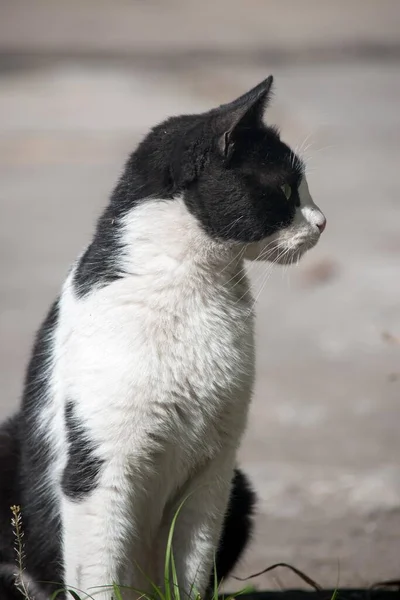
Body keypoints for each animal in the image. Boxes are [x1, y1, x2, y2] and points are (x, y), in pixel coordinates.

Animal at [0, 75, 324, 600]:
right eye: (284, 187)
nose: (322, 222)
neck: (193, 284)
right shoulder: (100, 466)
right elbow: (101, 572)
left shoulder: (214, 469)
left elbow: (190, 567)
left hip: (241, 488)